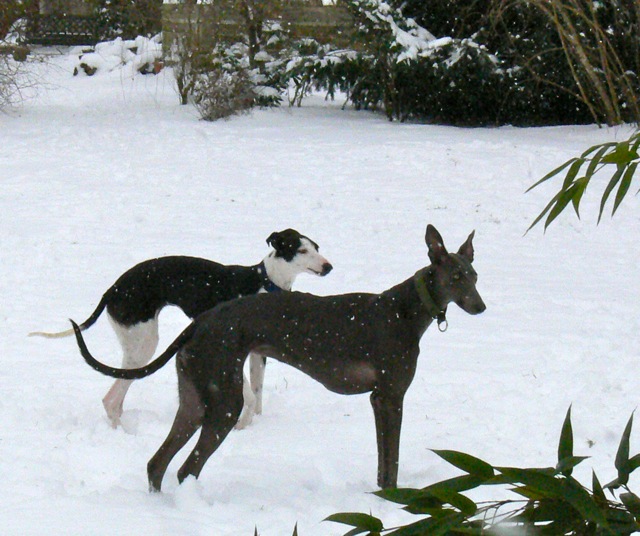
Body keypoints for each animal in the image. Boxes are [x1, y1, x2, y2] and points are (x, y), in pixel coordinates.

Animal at [32, 229, 333, 428]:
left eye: (317, 247)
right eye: (301, 250)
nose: (329, 266)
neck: (263, 282)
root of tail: (112, 290)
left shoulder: (258, 355)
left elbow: (256, 392)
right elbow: (247, 393)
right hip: (144, 345)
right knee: (111, 398)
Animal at [72, 224, 485, 491]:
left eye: (475, 276)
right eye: (456, 277)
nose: (480, 307)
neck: (405, 309)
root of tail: (199, 324)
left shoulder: (379, 399)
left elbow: (386, 465)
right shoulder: (388, 397)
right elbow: (391, 463)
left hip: (194, 400)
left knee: (157, 465)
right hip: (223, 402)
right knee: (186, 468)